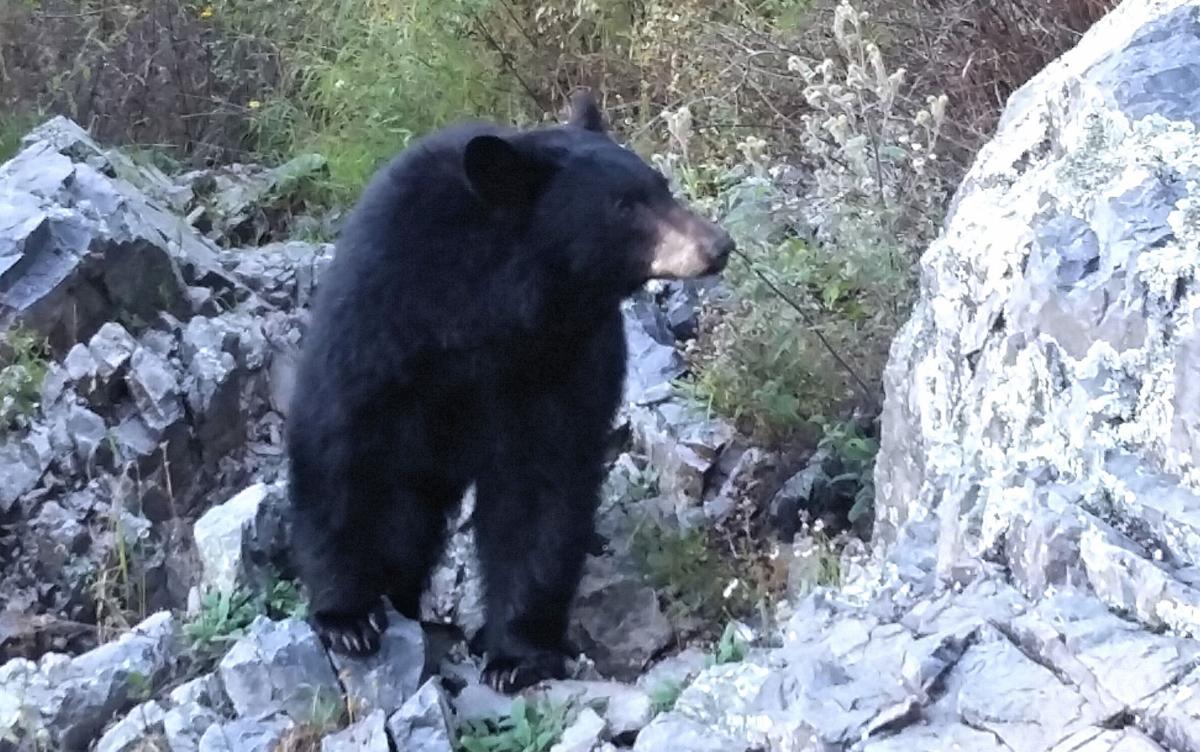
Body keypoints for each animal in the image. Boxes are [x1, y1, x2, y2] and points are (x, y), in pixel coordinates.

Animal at [287, 90, 733, 692]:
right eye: (623, 206)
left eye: (660, 185)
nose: (717, 245)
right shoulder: (379, 322)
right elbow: (342, 457)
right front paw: (349, 617)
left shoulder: (560, 358)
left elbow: (539, 491)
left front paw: (517, 654)